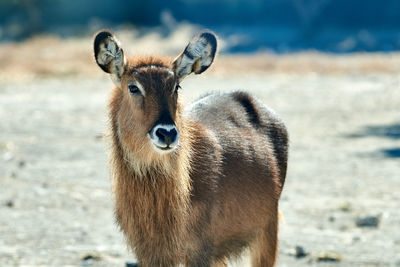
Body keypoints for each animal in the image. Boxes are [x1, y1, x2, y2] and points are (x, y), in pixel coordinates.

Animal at [94, 29, 288, 267]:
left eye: (176, 86)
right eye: (133, 87)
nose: (167, 133)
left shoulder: (199, 251)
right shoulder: (150, 253)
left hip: (267, 231)